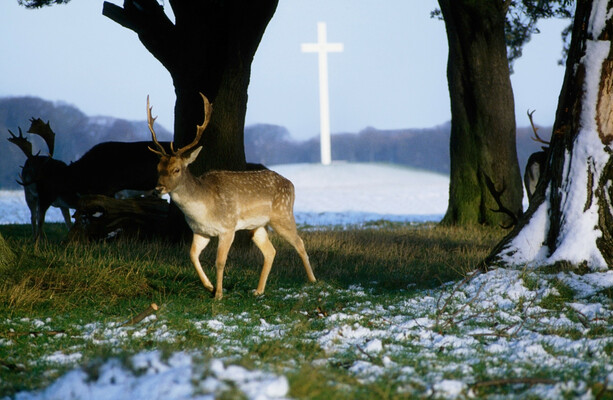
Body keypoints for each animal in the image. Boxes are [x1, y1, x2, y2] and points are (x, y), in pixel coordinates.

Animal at [147, 94, 316, 300]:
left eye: (176, 169)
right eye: (157, 168)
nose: (158, 189)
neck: (203, 208)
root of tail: (291, 184)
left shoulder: (227, 228)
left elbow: (220, 261)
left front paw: (218, 294)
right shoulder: (201, 231)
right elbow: (192, 255)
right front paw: (209, 286)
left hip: (283, 214)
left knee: (299, 243)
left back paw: (312, 280)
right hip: (257, 226)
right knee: (270, 251)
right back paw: (258, 290)